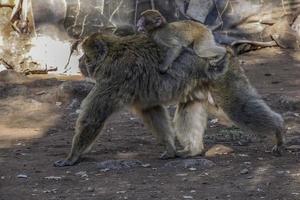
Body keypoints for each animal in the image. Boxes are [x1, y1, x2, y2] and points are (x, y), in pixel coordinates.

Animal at [54, 33, 284, 167]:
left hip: (222, 76)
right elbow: (151, 110)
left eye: (86, 56)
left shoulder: (114, 78)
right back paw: (193, 150)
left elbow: (93, 118)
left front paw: (72, 157)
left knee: (237, 107)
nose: (80, 62)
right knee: (189, 106)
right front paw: (170, 148)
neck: (112, 53)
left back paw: (279, 130)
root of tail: (224, 49)